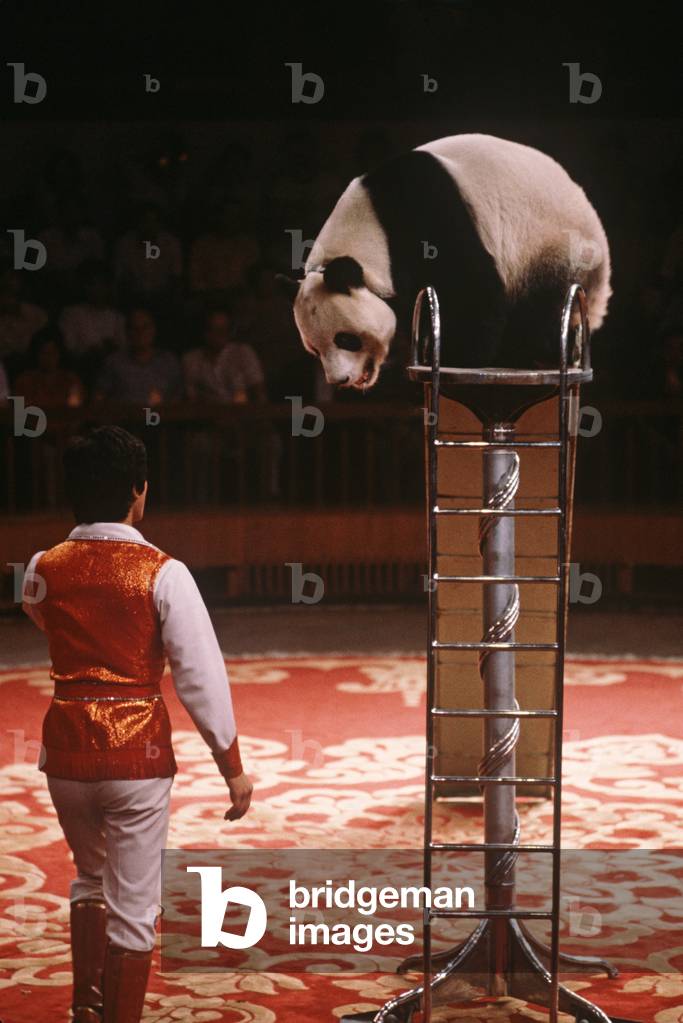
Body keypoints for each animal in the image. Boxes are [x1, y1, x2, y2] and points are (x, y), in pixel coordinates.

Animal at [278, 133, 611, 388]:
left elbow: (472, 290)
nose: (340, 381)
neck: (370, 226)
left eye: (346, 339)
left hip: (555, 250)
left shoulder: (429, 213)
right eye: (314, 349)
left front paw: (456, 354)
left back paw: (524, 353)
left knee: (540, 309)